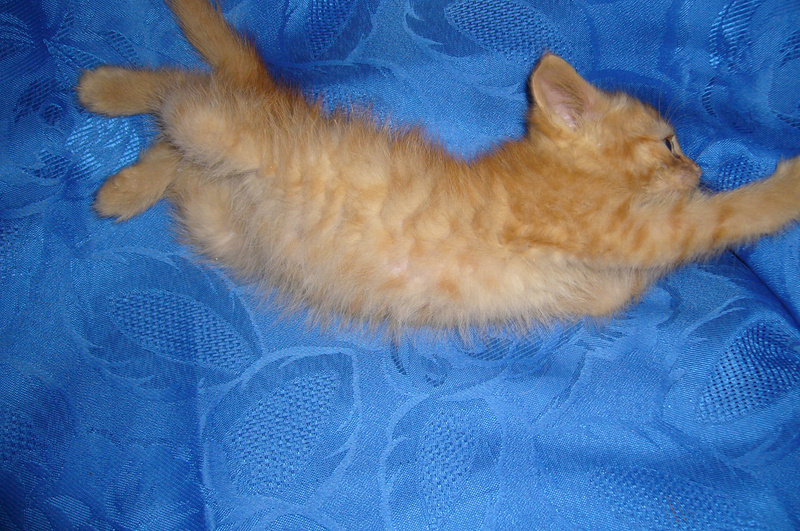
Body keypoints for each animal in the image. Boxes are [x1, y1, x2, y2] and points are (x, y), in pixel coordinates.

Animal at [76, 0, 800, 331]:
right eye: (670, 142)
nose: (698, 167)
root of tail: (276, 98)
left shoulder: (609, 280)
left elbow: (654, 265)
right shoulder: (623, 229)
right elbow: (717, 219)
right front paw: (784, 186)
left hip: (213, 209)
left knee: (185, 121)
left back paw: (125, 175)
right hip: (226, 134)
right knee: (182, 91)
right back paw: (106, 97)